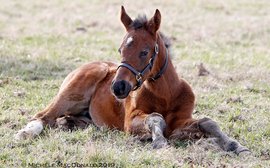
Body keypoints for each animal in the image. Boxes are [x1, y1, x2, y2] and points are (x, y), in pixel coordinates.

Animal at [15, 6, 249, 155]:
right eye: (120, 50)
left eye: (144, 52)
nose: (118, 87)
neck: (166, 94)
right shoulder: (131, 120)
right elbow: (155, 118)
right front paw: (158, 142)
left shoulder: (180, 122)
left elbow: (208, 122)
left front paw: (235, 146)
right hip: (71, 93)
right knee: (43, 116)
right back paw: (25, 133)